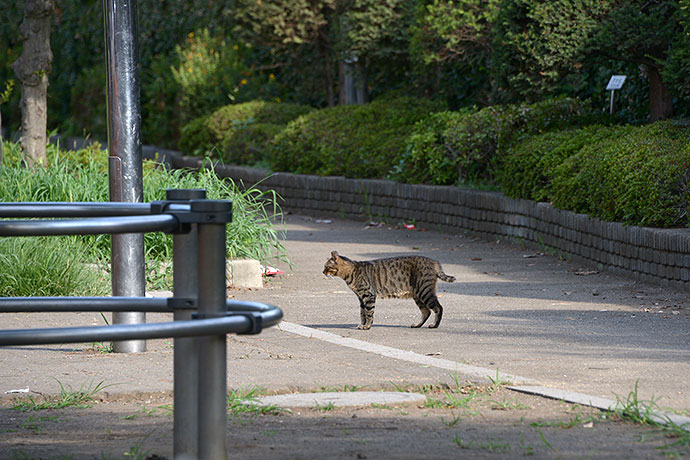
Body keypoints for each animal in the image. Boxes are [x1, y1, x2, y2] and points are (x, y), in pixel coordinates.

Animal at [322, 250, 454, 328]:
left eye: (326, 267)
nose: (322, 272)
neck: (351, 272)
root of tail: (433, 261)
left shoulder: (369, 295)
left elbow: (369, 312)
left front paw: (367, 326)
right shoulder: (361, 298)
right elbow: (362, 313)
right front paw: (363, 324)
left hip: (424, 291)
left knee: (438, 308)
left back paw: (434, 325)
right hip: (418, 295)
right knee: (426, 311)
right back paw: (417, 325)